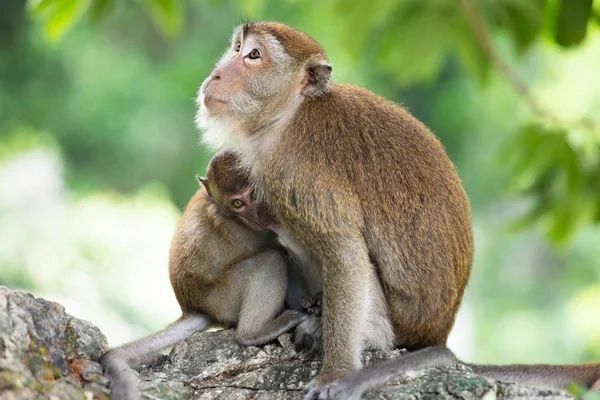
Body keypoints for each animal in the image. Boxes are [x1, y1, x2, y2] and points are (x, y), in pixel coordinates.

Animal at [100, 150, 310, 400]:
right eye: (238, 203)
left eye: (253, 195)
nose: (257, 218)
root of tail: (194, 307)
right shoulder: (242, 229)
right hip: (223, 298)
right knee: (273, 259)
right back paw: (253, 333)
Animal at [197, 22, 600, 400]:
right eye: (237, 48)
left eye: (254, 56)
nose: (216, 74)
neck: (291, 112)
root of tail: (437, 332)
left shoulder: (295, 171)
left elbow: (346, 255)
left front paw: (335, 373)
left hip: (402, 322)